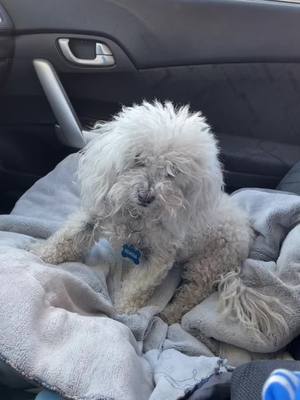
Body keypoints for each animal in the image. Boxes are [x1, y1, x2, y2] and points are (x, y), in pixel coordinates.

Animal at [34, 101, 252, 324]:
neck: (136, 216)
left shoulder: (158, 257)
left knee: (192, 294)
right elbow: (67, 238)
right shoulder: (96, 216)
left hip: (208, 262)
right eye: (138, 159)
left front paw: (122, 314)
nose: (145, 196)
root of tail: (245, 227)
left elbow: (136, 288)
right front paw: (39, 256)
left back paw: (169, 314)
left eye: (172, 172)